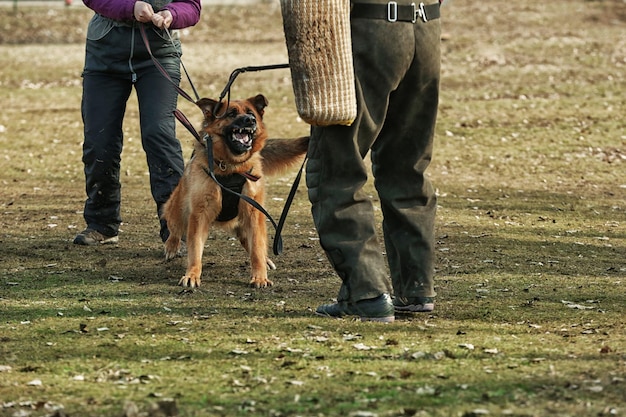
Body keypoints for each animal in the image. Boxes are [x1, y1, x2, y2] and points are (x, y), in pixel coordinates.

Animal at [161, 94, 308, 288]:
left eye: (251, 114)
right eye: (231, 113)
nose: (250, 121)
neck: (231, 167)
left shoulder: (254, 213)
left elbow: (257, 248)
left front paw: (260, 276)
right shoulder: (199, 215)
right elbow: (195, 249)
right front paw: (192, 274)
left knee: (251, 242)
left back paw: (265, 260)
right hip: (179, 209)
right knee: (174, 226)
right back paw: (171, 245)